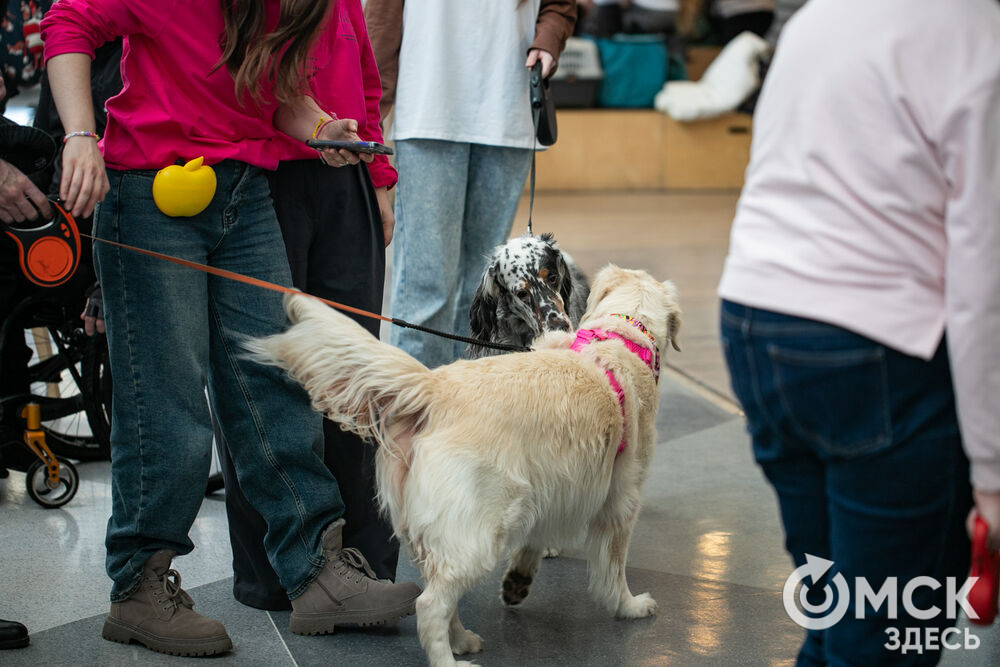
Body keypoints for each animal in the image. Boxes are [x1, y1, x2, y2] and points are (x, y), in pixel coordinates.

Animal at [246, 264, 680, 664]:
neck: (622, 336)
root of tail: (435, 388)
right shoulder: (621, 504)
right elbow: (613, 571)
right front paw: (630, 606)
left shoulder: (554, 486)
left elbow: (534, 541)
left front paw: (519, 580)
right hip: (481, 530)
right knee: (429, 605)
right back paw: (448, 659)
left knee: (439, 591)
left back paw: (463, 640)